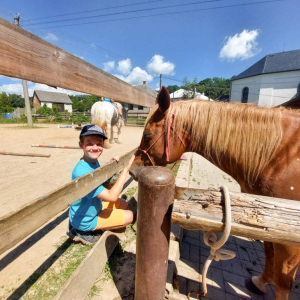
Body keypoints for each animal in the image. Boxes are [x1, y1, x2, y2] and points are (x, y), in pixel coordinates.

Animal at [131, 86, 300, 300]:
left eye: (148, 135)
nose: (132, 170)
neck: (278, 155)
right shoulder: (270, 222)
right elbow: (269, 252)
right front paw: (260, 282)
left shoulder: (290, 236)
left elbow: (283, 281)